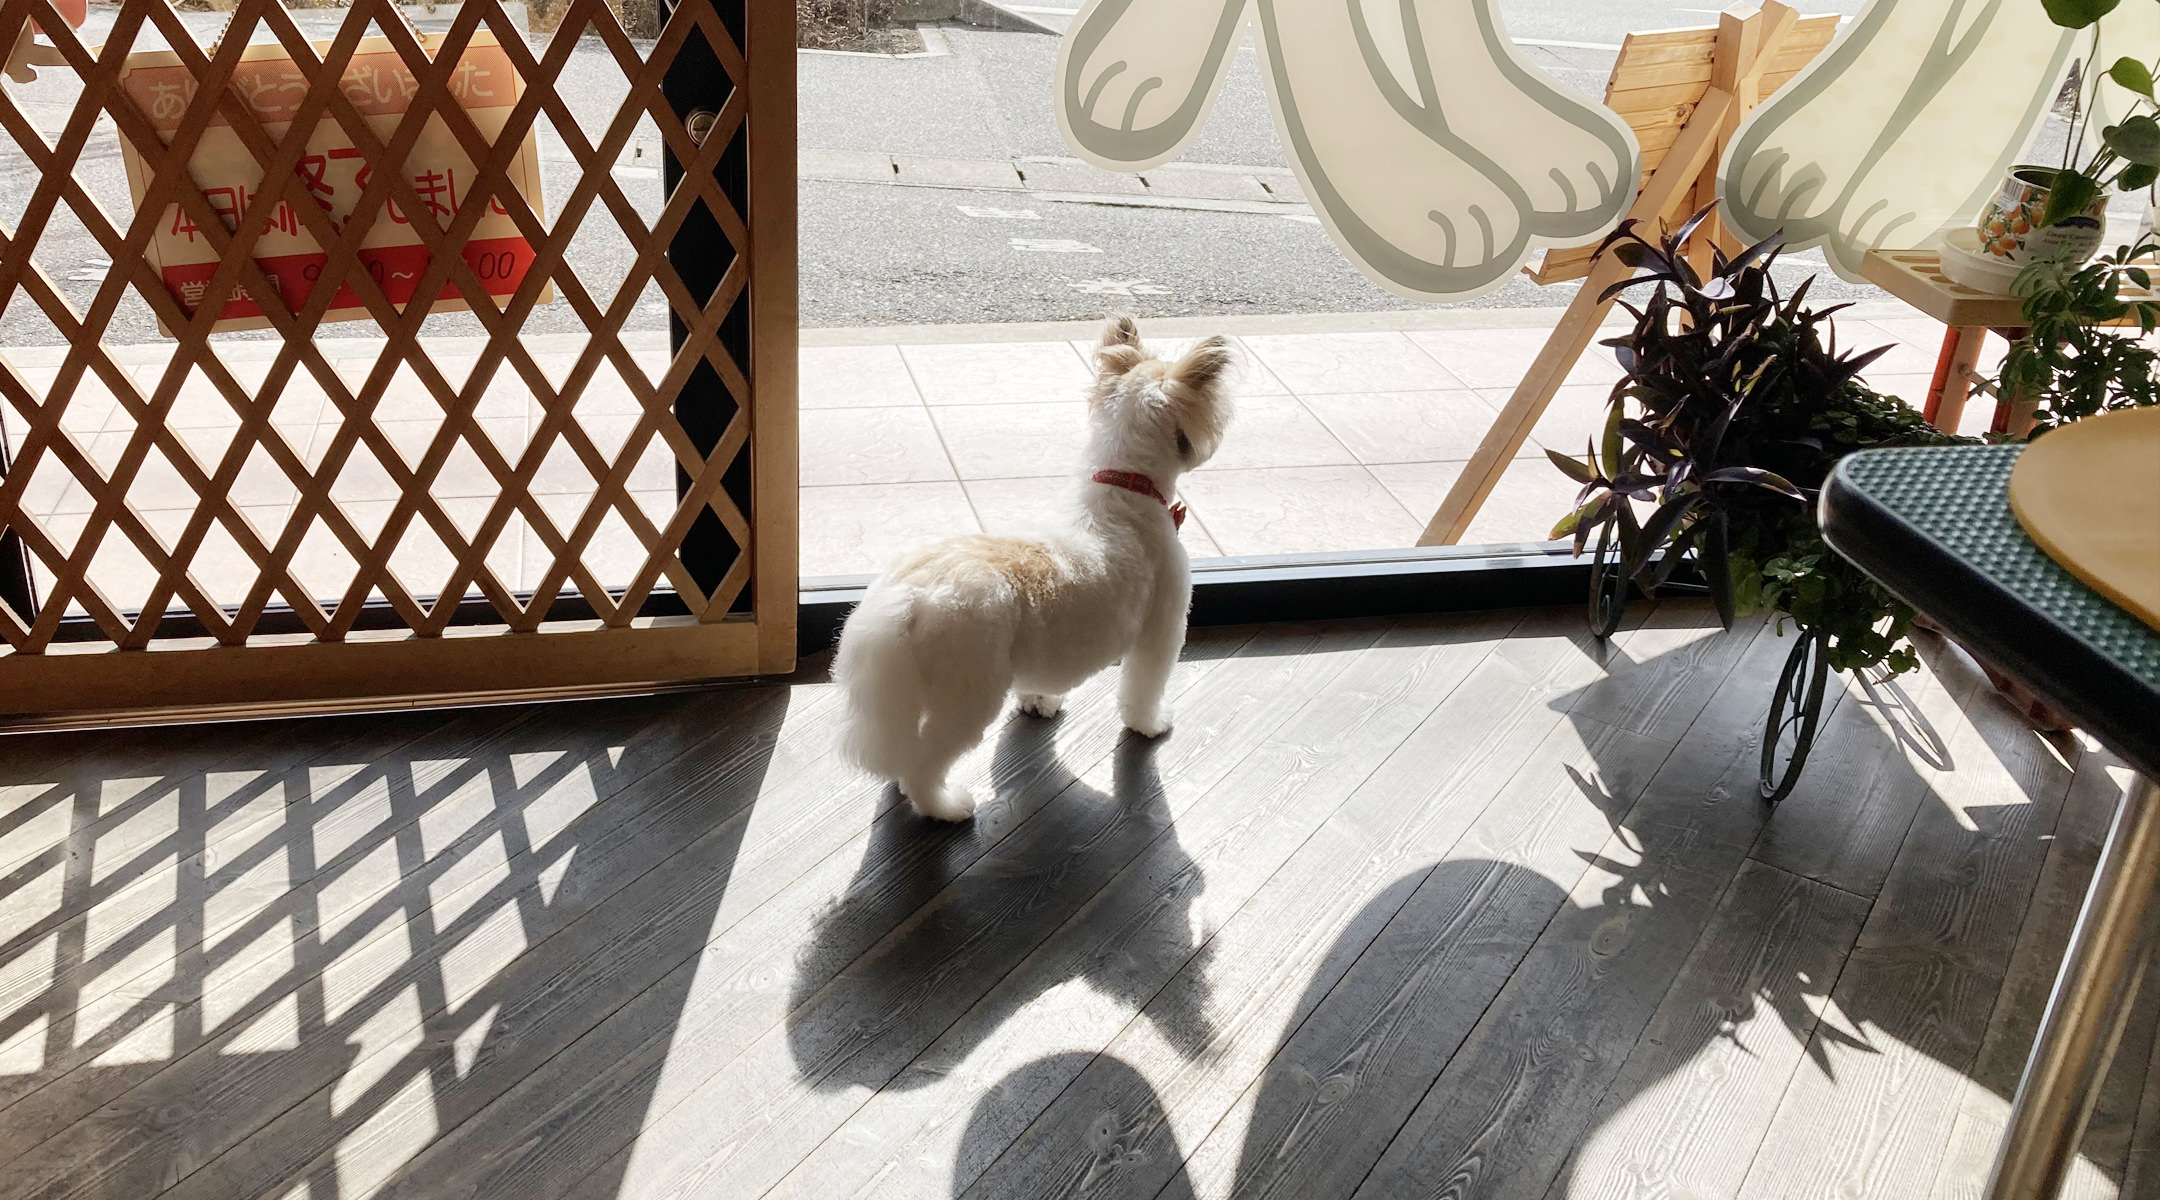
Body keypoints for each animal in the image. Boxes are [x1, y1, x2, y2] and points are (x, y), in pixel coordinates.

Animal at [831, 316, 1235, 820]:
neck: (1124, 485)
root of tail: (910, 595)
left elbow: (1039, 679)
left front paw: (1039, 702)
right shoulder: (1162, 628)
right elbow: (1143, 688)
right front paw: (1150, 724)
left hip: (909, 684)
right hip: (970, 692)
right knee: (925, 764)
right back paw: (945, 806)